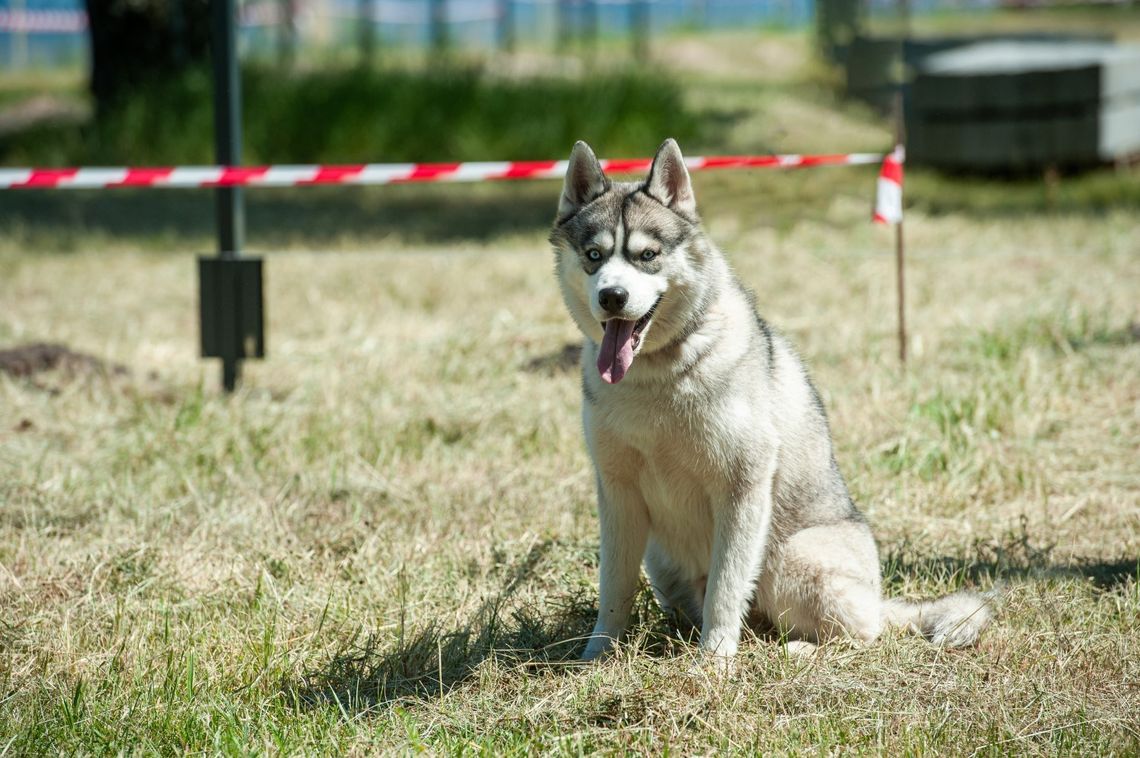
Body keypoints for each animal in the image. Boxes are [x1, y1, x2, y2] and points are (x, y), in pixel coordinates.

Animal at [549, 139, 989, 661]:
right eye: (594, 255)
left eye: (647, 255)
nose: (613, 296)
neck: (657, 374)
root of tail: (880, 599)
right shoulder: (617, 491)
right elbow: (614, 585)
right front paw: (597, 654)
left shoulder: (743, 483)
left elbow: (725, 587)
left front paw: (715, 661)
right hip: (662, 560)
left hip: (790, 558)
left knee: (860, 632)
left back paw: (796, 650)